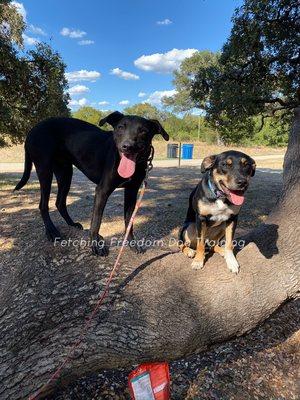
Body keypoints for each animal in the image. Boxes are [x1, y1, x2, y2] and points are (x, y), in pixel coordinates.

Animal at [15, 111, 169, 255]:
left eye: (143, 131)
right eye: (120, 127)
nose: (128, 146)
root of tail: (32, 130)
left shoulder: (131, 192)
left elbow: (129, 221)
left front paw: (132, 244)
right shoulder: (102, 190)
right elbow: (96, 220)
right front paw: (96, 245)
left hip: (65, 173)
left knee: (60, 202)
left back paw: (72, 224)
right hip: (45, 170)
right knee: (43, 205)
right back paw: (51, 231)